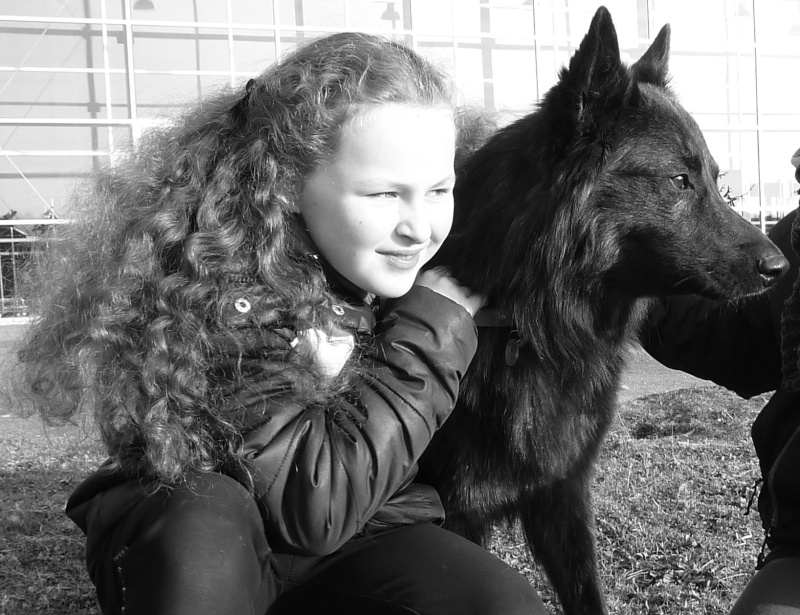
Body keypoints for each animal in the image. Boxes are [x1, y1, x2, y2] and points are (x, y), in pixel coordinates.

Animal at [418, 6, 788, 615]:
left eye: (714, 178)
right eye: (680, 180)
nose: (781, 266)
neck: (535, 325)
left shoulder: (563, 495)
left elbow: (587, 593)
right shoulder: (456, 515)